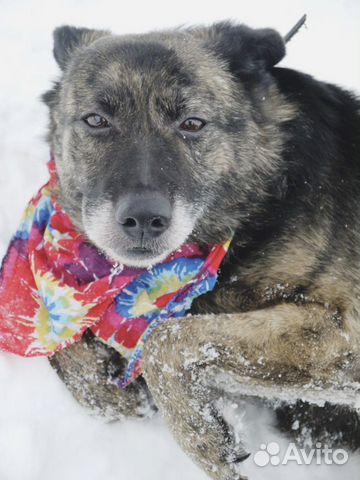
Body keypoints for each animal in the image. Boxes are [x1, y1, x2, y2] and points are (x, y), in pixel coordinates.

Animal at [44, 22, 360, 480]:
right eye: (96, 120)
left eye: (192, 123)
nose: (143, 218)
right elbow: (66, 339)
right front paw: (108, 388)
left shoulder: (346, 330)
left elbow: (164, 340)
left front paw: (203, 439)